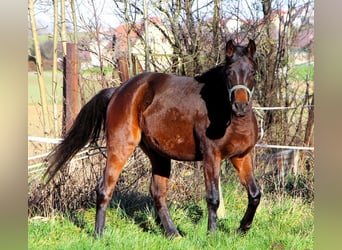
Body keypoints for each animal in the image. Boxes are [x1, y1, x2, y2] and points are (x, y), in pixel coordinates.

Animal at [44, 39, 260, 238]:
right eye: (229, 72)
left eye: (252, 72)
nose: (240, 106)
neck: (228, 118)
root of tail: (118, 91)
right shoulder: (211, 156)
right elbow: (213, 197)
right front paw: (212, 234)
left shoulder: (241, 156)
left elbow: (255, 194)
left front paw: (243, 228)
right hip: (121, 147)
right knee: (105, 188)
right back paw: (99, 234)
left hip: (159, 155)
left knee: (157, 193)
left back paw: (173, 234)